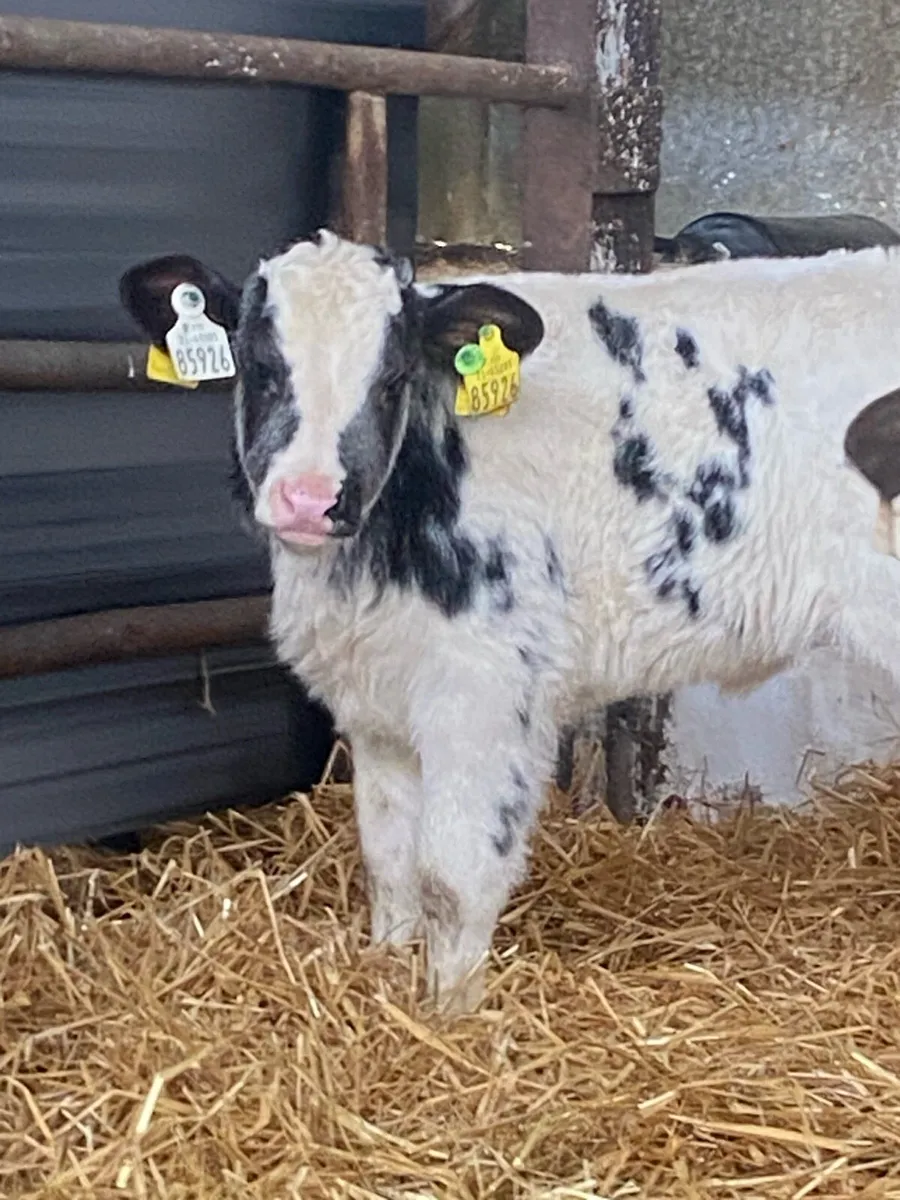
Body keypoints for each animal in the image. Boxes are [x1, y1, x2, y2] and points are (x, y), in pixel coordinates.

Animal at [120, 231, 900, 1013]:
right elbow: (388, 857)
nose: (310, 499)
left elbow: (452, 876)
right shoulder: (377, 705)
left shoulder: (485, 693)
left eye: (392, 377)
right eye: (259, 365)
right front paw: (385, 970)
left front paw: (448, 1013)